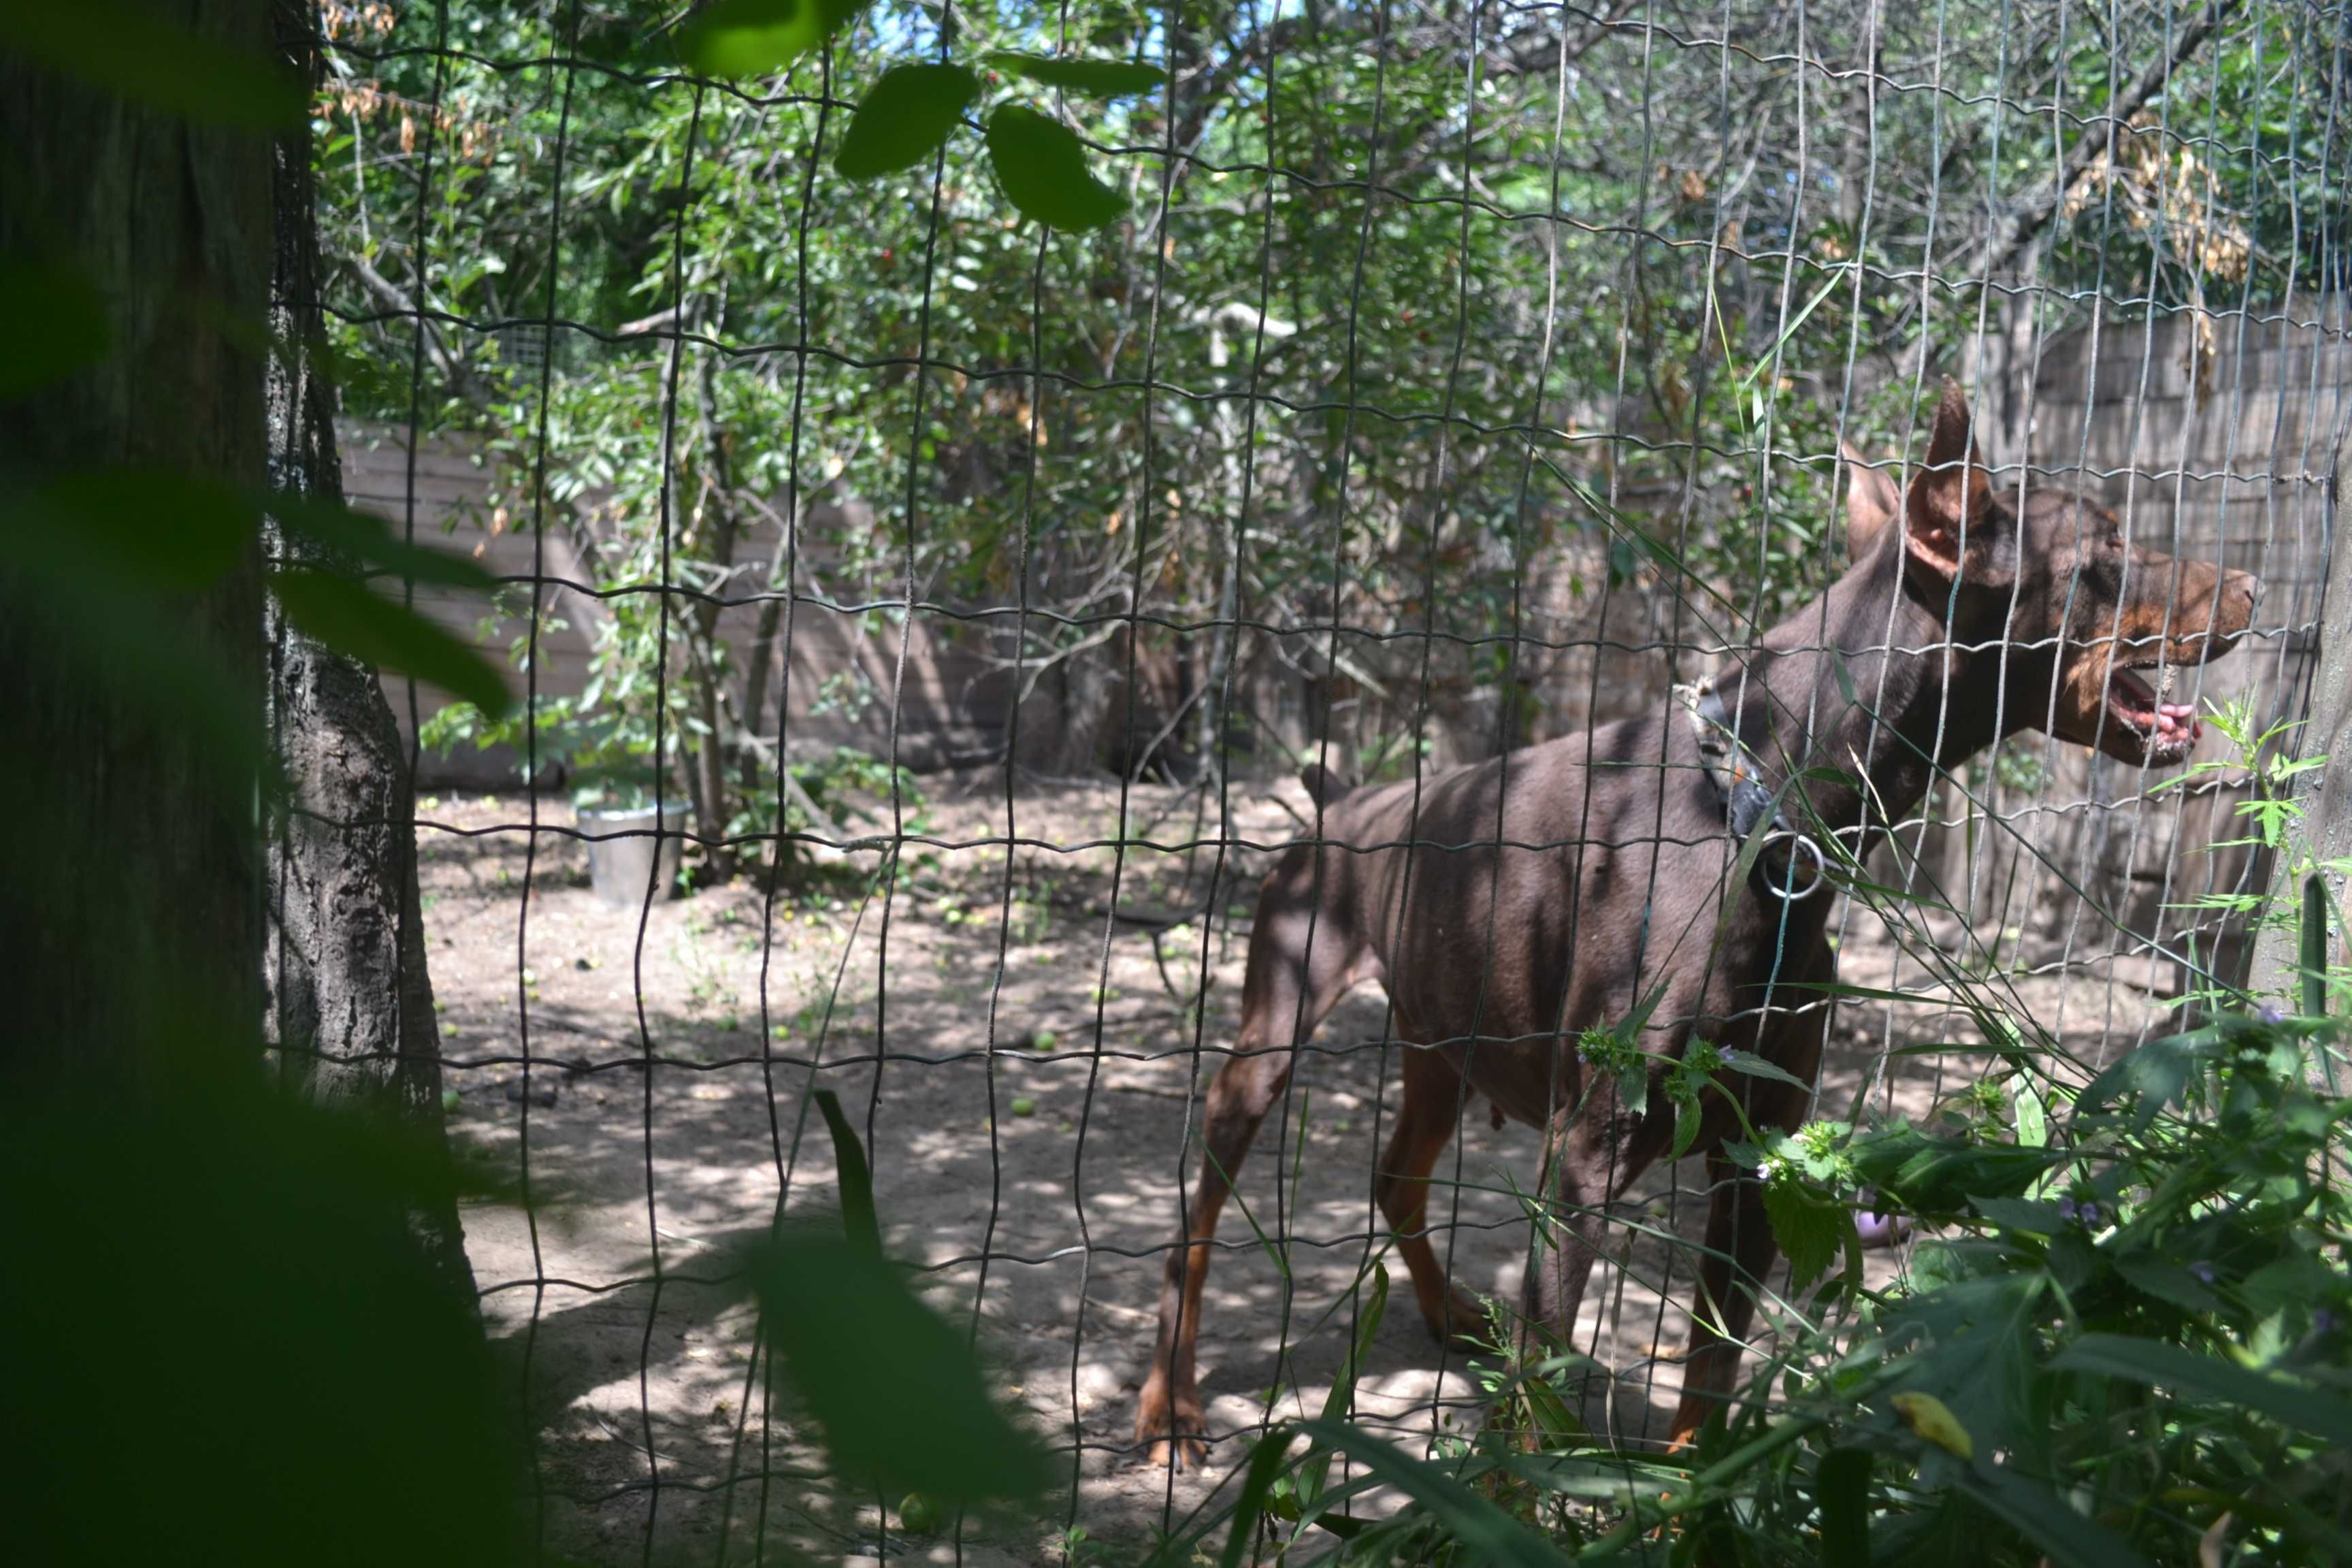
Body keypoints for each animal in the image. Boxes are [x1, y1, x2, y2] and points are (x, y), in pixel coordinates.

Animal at [1138, 380, 2257, 1476]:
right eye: (2109, 548)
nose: (2255, 586)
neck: (1757, 814)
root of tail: (1343, 805)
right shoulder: (1586, 1157)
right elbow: (1536, 1395)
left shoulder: (1760, 1153)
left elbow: (1711, 1383)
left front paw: (1688, 1497)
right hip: (1273, 1031)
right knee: (1198, 1215)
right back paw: (1170, 1403)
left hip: (1442, 1040)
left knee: (1395, 1177)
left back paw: (1447, 1309)